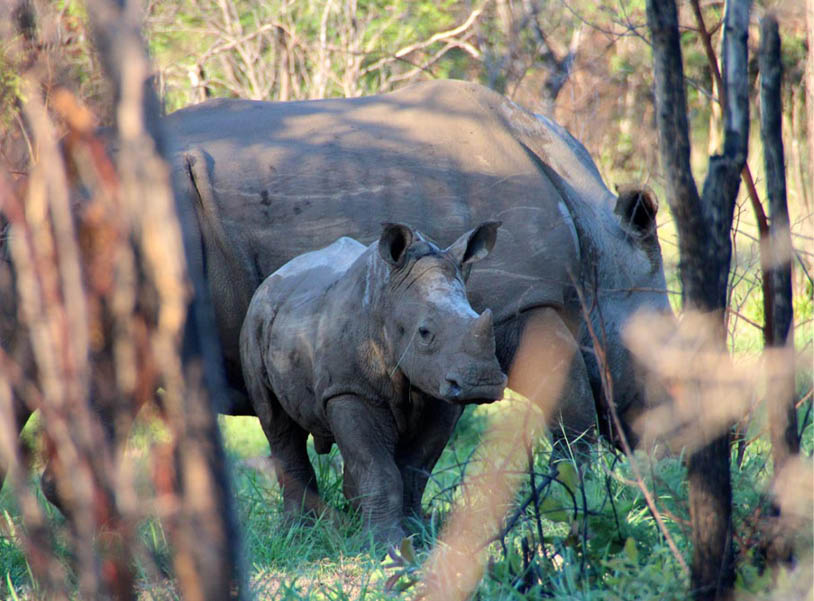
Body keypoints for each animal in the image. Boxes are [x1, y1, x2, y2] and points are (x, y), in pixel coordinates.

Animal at [240, 222, 506, 543]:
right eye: (424, 333)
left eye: (480, 316)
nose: (483, 382)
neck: (388, 299)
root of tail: (272, 278)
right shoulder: (349, 389)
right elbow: (378, 467)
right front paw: (384, 542)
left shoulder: (440, 396)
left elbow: (415, 467)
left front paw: (415, 533)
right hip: (255, 320)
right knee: (276, 423)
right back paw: (298, 532)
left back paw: (348, 520)